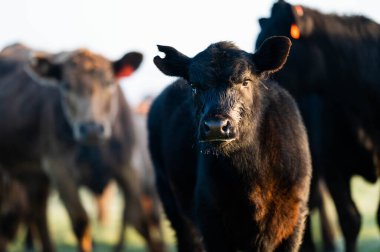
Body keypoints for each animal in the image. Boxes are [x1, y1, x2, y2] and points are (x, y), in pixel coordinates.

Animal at [0, 43, 165, 252]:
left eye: (109, 83)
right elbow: (81, 224)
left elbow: (142, 221)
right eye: (65, 86)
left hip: (35, 178)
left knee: (37, 213)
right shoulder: (60, 171)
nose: (91, 129)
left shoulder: (129, 169)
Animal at [148, 36, 312, 251]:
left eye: (245, 81)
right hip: (172, 205)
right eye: (194, 86)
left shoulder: (294, 219)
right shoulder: (210, 219)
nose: (216, 126)